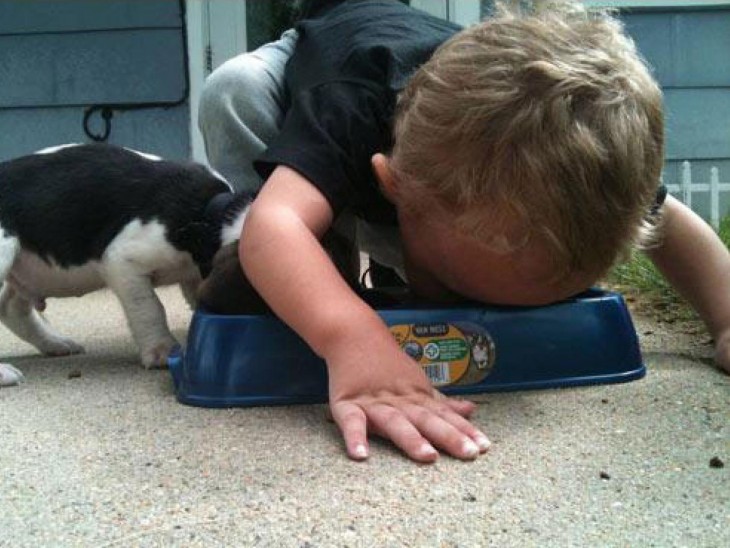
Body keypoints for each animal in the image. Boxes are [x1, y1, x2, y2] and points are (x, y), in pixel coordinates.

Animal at [0, 141, 250, 382]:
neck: (210, 220)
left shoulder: (194, 276)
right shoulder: (122, 261)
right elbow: (149, 308)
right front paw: (162, 351)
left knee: (11, 308)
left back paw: (56, 343)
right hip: (5, 251)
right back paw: (6, 372)